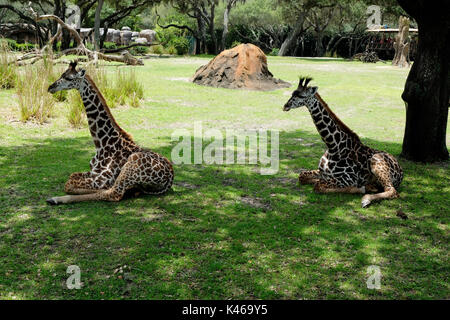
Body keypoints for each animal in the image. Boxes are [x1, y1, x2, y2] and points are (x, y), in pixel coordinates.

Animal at [44, 61, 174, 204]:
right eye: (62, 74)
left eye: (69, 78)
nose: (50, 87)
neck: (102, 143)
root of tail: (170, 179)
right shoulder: (93, 172)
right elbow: (71, 177)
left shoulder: (102, 177)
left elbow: (69, 184)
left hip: (132, 163)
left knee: (113, 193)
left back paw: (56, 199)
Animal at [284, 77, 402, 208]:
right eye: (293, 93)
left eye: (301, 96)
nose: (285, 106)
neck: (333, 146)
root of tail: (401, 171)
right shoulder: (322, 172)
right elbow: (302, 176)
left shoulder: (348, 178)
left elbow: (318, 185)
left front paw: (359, 188)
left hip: (377, 162)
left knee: (392, 191)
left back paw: (366, 198)